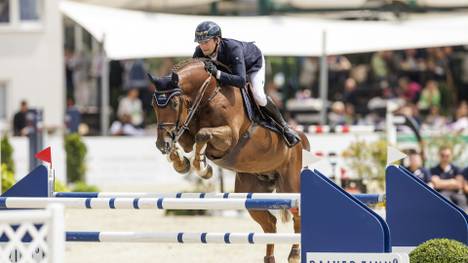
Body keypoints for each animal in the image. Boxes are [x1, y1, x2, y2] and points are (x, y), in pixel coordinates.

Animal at [150, 58, 310, 262]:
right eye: (153, 105)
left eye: (174, 103)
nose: (161, 144)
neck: (209, 95)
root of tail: (300, 137)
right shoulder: (186, 130)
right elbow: (186, 142)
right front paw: (182, 163)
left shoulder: (229, 136)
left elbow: (202, 135)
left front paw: (203, 168)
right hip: (252, 194)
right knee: (270, 224)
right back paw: (270, 258)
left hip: (290, 186)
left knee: (298, 218)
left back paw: (295, 254)